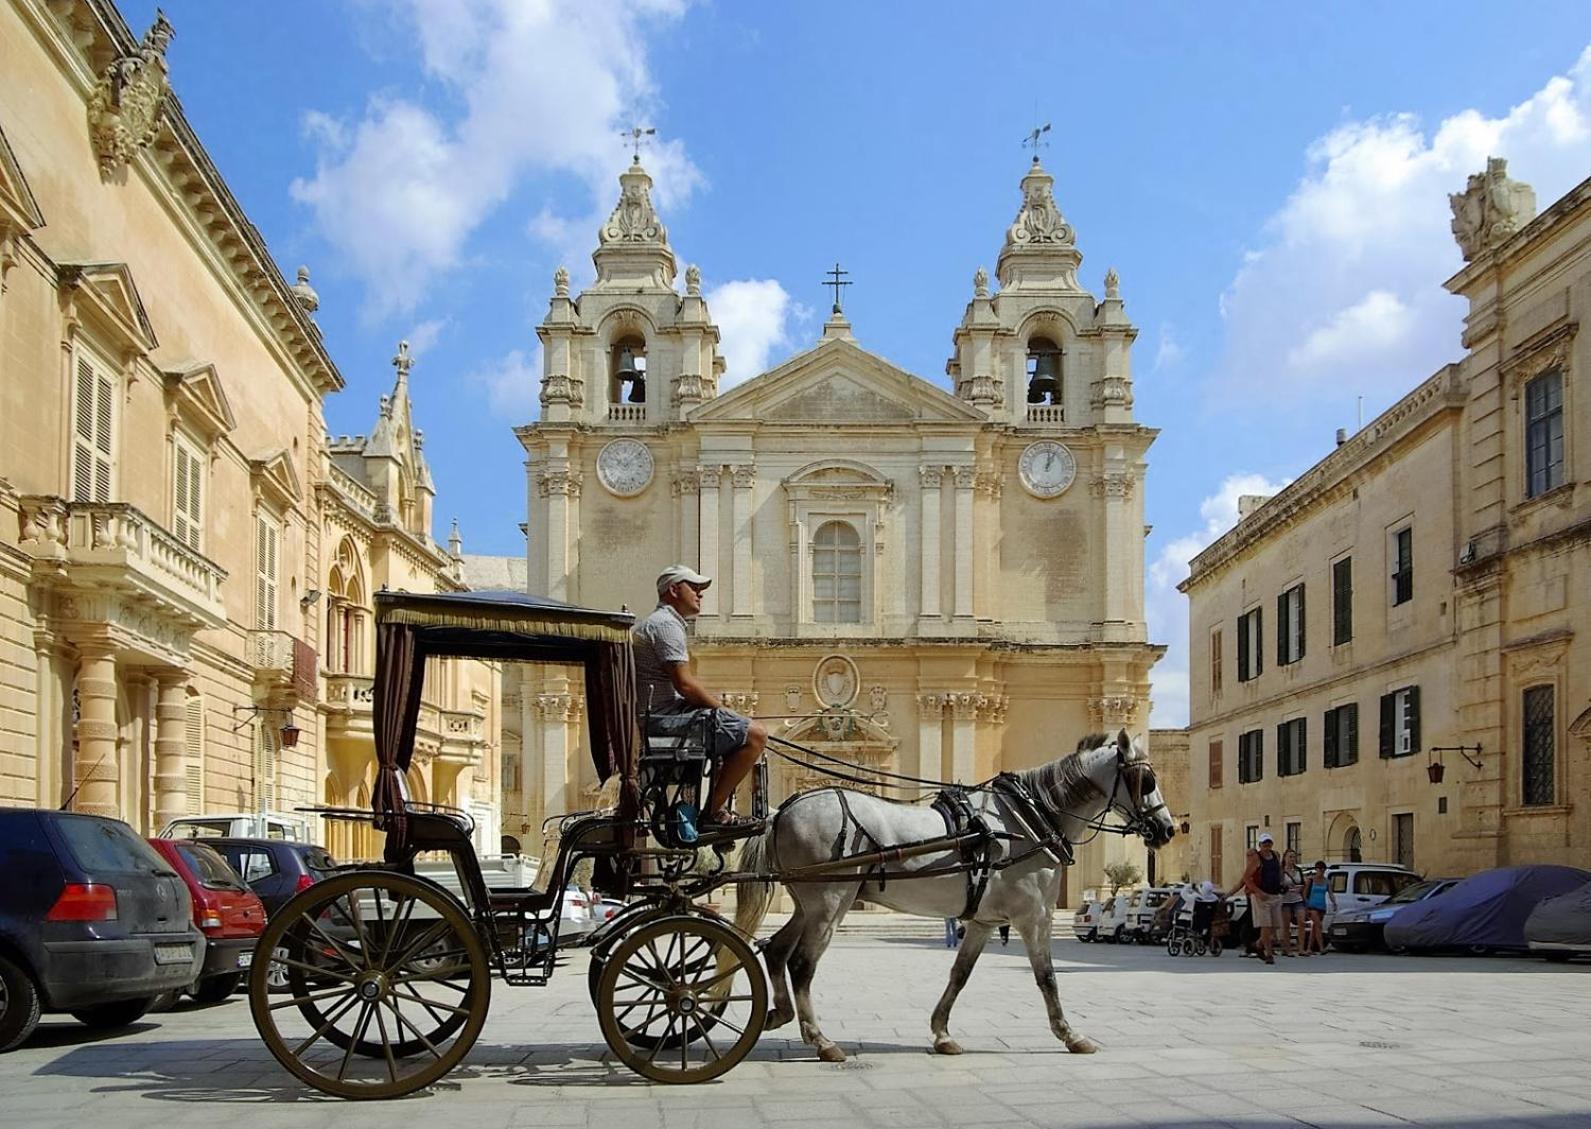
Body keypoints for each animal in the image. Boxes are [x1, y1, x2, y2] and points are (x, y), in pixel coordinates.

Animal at [738, 728, 1177, 1068]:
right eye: (1147, 780)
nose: (1166, 828)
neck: (1028, 819)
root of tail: (780, 811)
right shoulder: (1034, 916)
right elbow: (1047, 977)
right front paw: (1070, 1035)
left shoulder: (983, 921)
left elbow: (960, 974)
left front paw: (942, 1033)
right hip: (831, 904)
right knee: (801, 964)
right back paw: (821, 1040)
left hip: (808, 905)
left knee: (775, 950)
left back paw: (780, 1014)